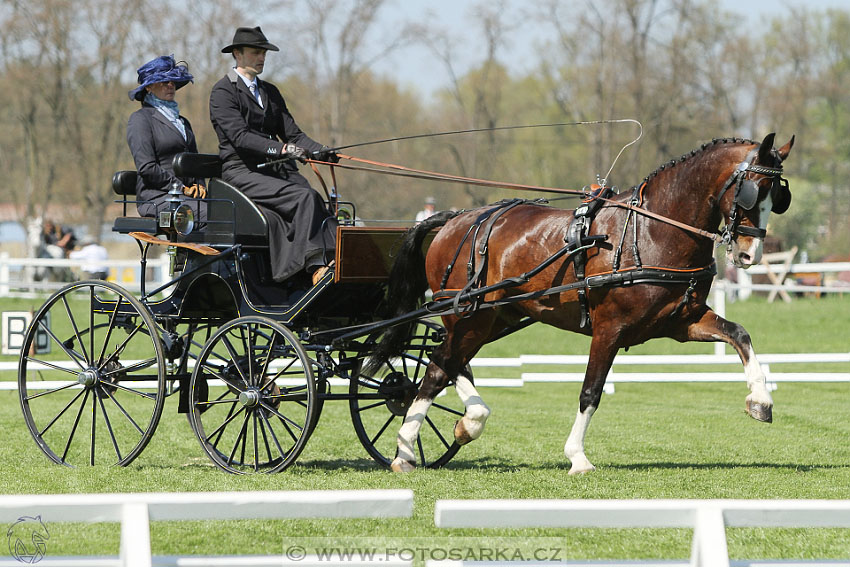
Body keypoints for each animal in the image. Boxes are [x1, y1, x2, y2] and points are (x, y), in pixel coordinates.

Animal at [374, 133, 792, 474]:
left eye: (779, 196)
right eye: (753, 189)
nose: (749, 253)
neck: (654, 229)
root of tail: (456, 219)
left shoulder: (681, 322)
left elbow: (739, 334)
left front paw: (761, 400)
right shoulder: (610, 329)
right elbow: (590, 392)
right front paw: (577, 456)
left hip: (491, 317)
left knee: (442, 363)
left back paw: (454, 428)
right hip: (469, 316)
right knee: (440, 365)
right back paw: (413, 444)